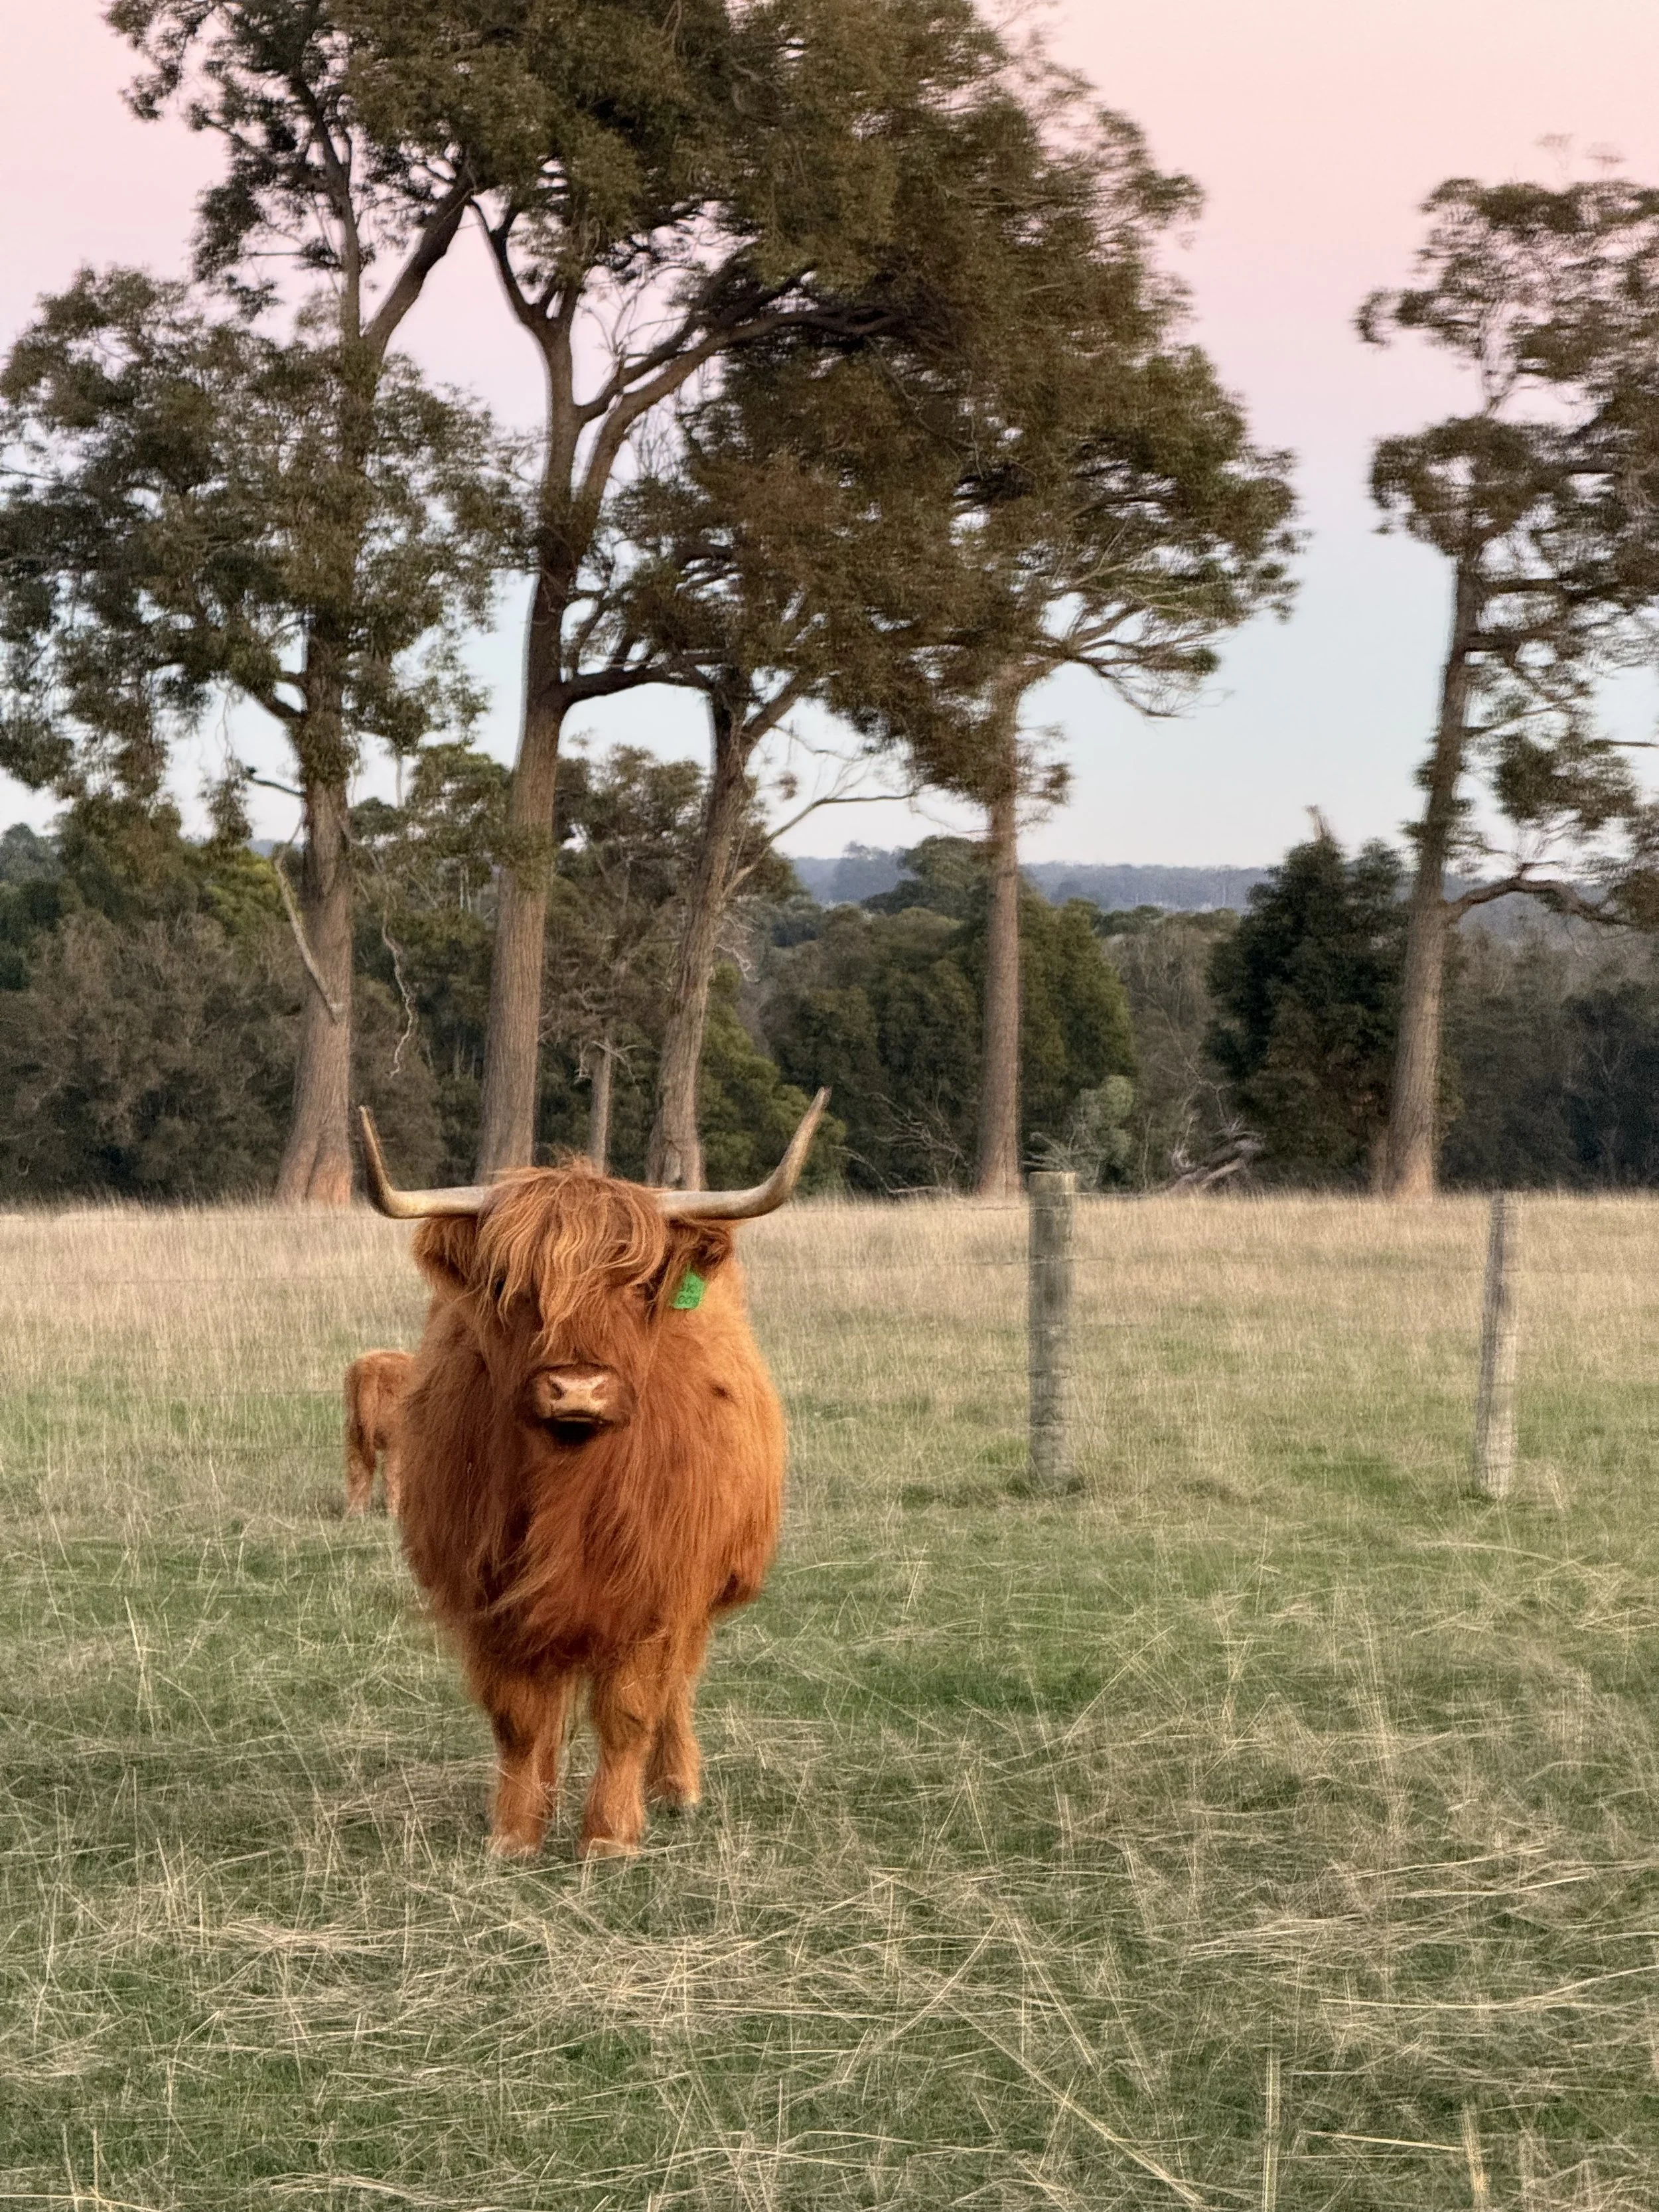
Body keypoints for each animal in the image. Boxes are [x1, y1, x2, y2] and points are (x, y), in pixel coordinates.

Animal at [343, 1349, 413, 1517]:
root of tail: (370, 1367)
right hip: (396, 1440)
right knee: (391, 1472)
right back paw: (394, 1513)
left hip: (354, 1435)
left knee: (357, 1471)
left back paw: (355, 1513)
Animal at [357, 1092, 827, 1861]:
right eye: (508, 1287)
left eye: (639, 1285)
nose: (576, 1388)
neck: (568, 1486)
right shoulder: (493, 1598)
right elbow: (519, 1719)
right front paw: (517, 1831)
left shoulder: (658, 1592)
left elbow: (630, 1710)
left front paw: (608, 1836)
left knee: (677, 1689)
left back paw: (676, 1787)